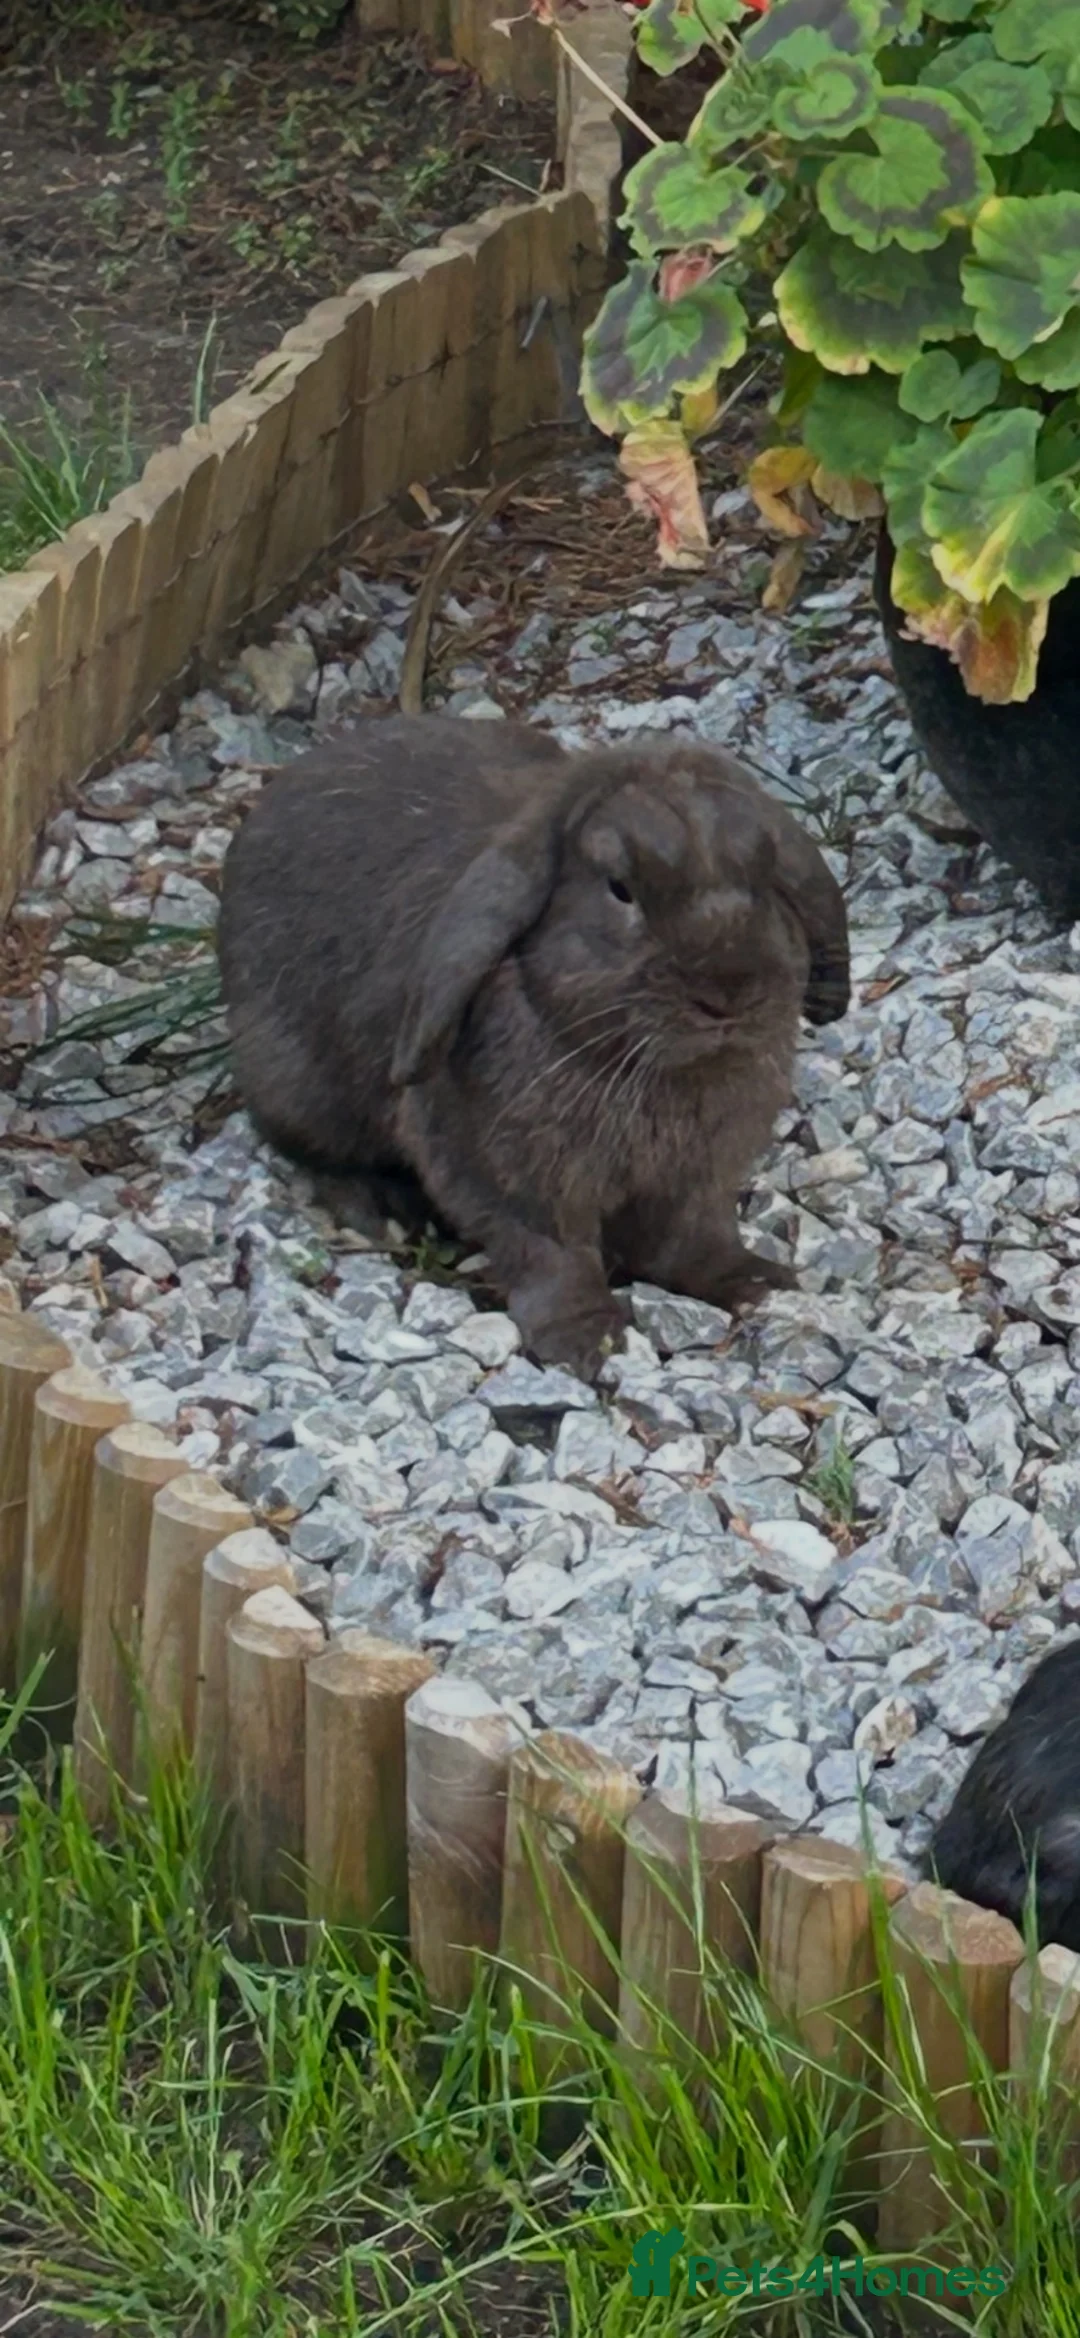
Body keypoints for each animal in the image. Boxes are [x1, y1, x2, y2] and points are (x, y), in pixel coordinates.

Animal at [217, 713, 850, 1380]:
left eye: (766, 875)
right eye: (619, 890)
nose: (729, 994)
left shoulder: (697, 1179)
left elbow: (691, 1238)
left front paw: (759, 1283)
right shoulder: (511, 1179)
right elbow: (550, 1253)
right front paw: (585, 1341)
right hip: (295, 1085)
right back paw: (383, 1211)